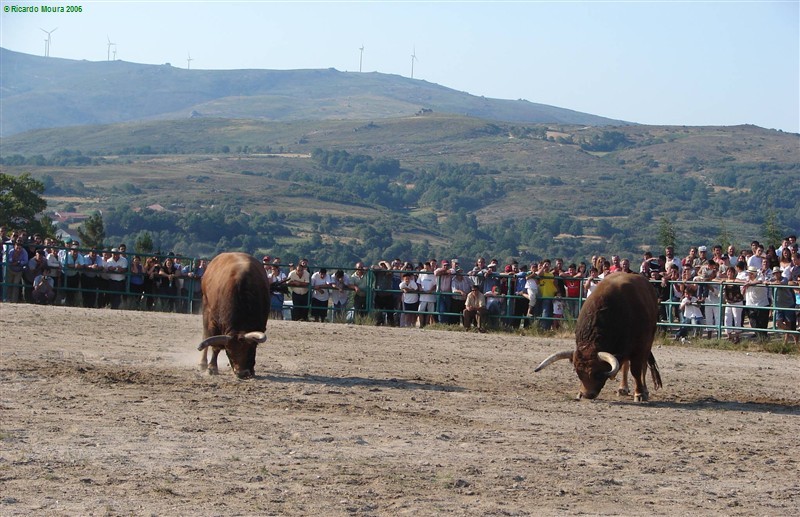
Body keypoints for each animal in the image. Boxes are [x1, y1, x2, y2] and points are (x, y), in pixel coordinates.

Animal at [536, 272, 660, 402]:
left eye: (598, 374)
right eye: (579, 373)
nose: (587, 394)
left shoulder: (640, 347)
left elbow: (636, 370)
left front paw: (639, 393)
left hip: (648, 342)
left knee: (643, 367)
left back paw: (644, 390)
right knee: (625, 366)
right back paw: (622, 388)